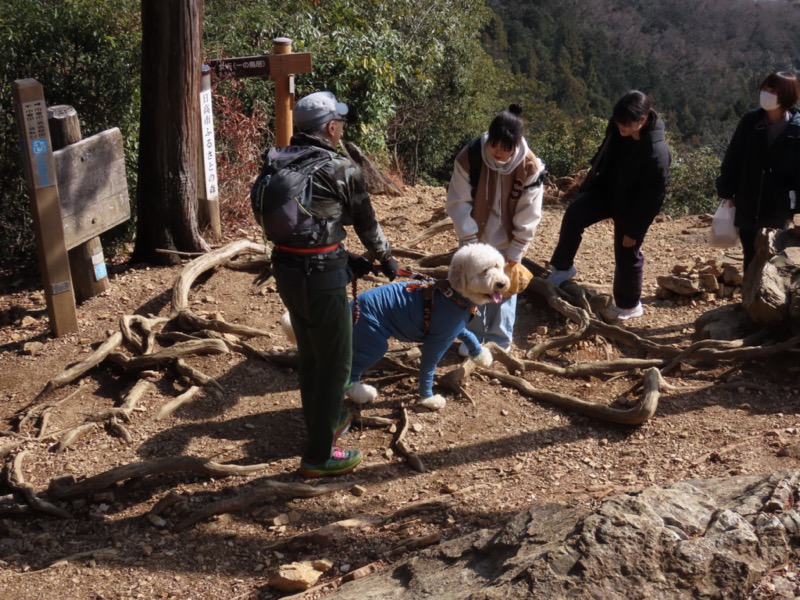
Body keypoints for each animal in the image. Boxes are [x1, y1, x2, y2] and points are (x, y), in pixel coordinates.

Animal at [282, 241, 510, 410]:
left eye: (498, 266)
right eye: (484, 270)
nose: (502, 283)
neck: (452, 295)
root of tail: (350, 306)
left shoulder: (451, 328)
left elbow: (469, 335)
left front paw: (481, 356)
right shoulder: (436, 341)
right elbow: (428, 369)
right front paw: (428, 399)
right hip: (373, 342)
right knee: (353, 372)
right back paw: (362, 394)